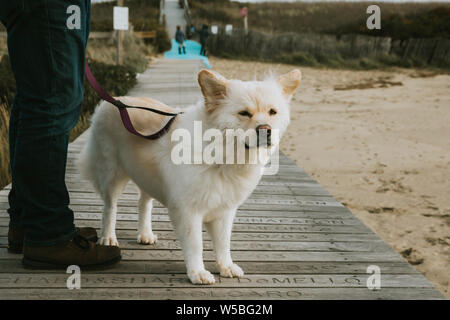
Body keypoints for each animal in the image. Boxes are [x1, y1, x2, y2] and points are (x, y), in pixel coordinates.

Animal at [79, 69, 300, 284]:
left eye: (272, 112)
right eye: (244, 113)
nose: (266, 130)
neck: (221, 153)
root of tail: (114, 100)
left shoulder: (224, 212)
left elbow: (223, 244)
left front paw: (226, 267)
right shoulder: (188, 212)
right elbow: (196, 245)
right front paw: (198, 273)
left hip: (146, 176)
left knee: (144, 203)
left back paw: (145, 234)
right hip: (112, 175)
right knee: (110, 208)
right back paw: (108, 238)